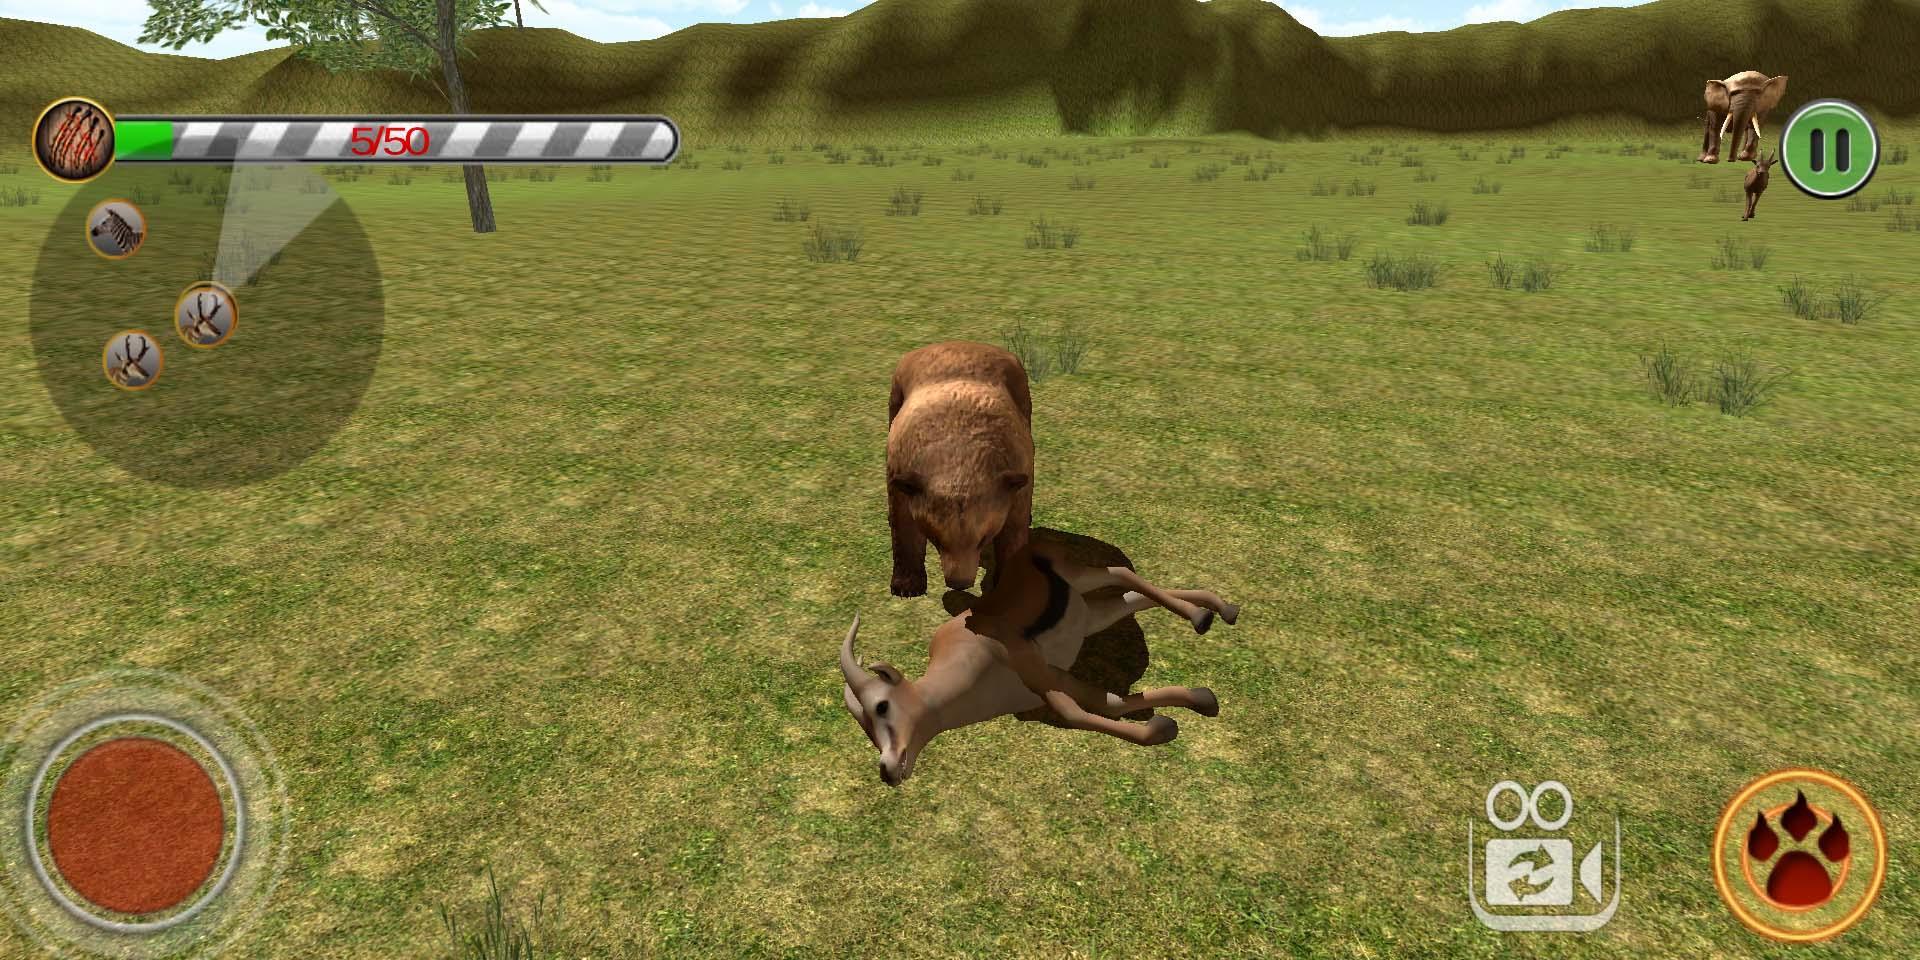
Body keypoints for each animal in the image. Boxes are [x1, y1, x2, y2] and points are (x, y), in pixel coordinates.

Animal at [887, 341, 1034, 597]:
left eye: (983, 538)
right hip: (896, 390)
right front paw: (906, 586)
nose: (959, 583)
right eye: (936, 539)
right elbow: (903, 525)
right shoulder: (901, 465)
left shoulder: (1018, 467)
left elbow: (1013, 530)